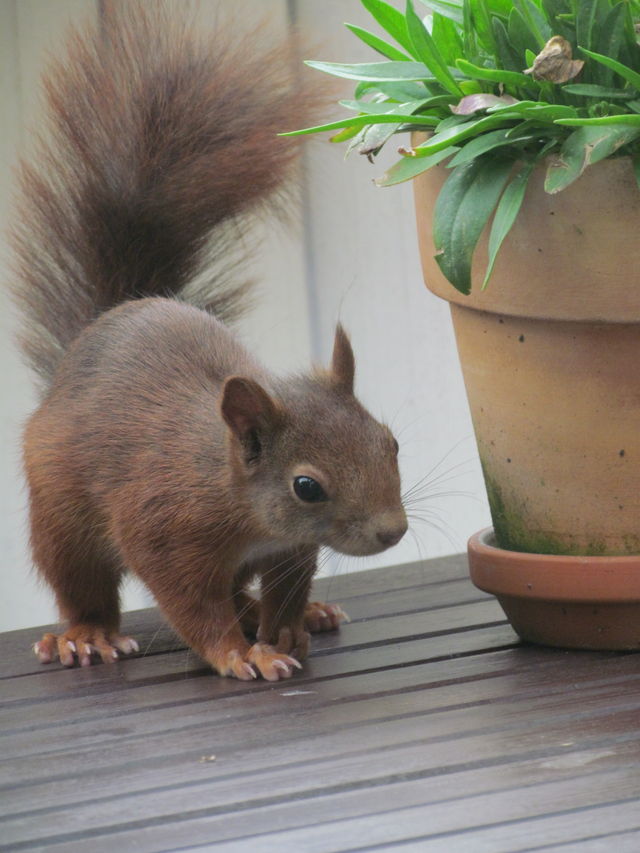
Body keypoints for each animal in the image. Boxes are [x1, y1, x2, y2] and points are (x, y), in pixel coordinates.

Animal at [11, 0, 404, 680]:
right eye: (307, 486)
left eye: (391, 443)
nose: (393, 531)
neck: (230, 488)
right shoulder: (164, 529)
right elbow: (192, 605)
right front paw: (240, 654)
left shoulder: (290, 548)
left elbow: (286, 589)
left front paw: (286, 628)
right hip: (61, 514)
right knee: (81, 582)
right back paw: (86, 636)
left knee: (243, 590)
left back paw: (299, 613)